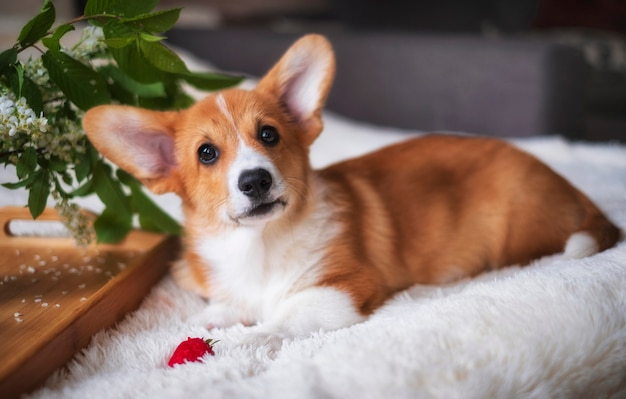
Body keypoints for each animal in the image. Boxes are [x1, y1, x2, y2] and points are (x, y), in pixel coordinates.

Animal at [83, 35, 620, 346]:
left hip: (517, 228)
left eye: (269, 135)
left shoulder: (342, 289)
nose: (256, 180)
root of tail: (577, 194)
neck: (259, 245)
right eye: (207, 154)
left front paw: (233, 343)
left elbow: (281, 319)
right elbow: (222, 308)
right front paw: (209, 322)